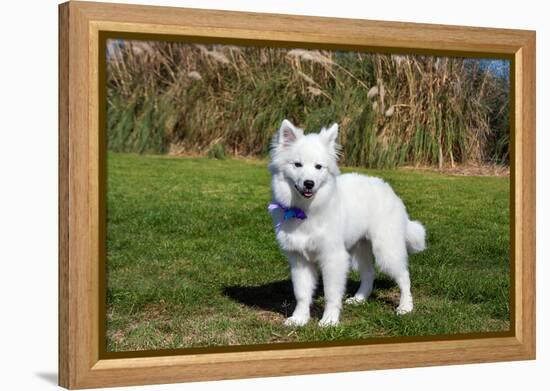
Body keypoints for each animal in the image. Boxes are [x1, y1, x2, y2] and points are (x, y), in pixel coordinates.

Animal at [270, 119, 430, 328]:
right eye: (297, 165)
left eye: (318, 167)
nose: (309, 183)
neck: (306, 211)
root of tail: (388, 189)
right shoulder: (299, 260)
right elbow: (302, 294)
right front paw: (299, 319)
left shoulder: (333, 258)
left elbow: (331, 293)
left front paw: (329, 320)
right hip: (360, 249)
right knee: (369, 273)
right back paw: (360, 298)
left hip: (386, 250)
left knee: (404, 276)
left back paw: (405, 307)